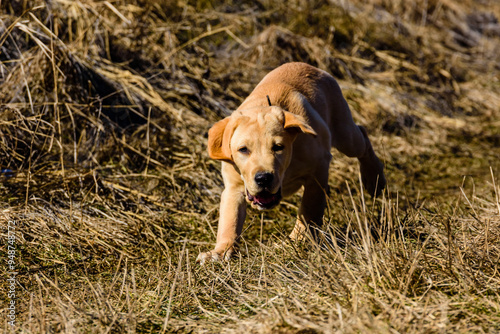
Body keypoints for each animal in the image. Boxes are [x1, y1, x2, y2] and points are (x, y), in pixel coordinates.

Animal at [196, 62, 386, 264]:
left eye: (278, 147)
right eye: (243, 149)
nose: (263, 178)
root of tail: (310, 66)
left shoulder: (317, 172)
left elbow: (308, 210)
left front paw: (296, 241)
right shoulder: (234, 188)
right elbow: (229, 221)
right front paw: (220, 252)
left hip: (345, 135)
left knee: (362, 136)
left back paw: (374, 179)